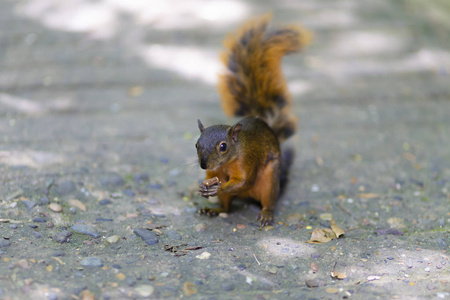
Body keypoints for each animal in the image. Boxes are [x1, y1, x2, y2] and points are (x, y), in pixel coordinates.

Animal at [195, 13, 312, 225]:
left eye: (223, 146)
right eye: (196, 144)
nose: (203, 165)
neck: (227, 163)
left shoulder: (247, 161)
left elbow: (243, 181)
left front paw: (219, 187)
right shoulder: (214, 172)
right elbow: (212, 177)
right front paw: (202, 187)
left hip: (269, 180)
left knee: (268, 200)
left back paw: (266, 214)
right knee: (227, 207)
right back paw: (214, 210)